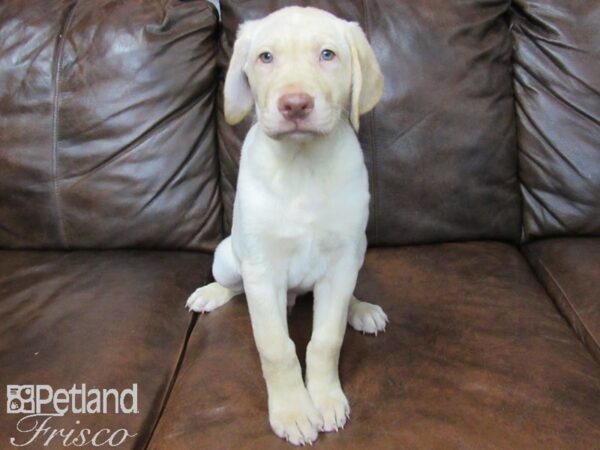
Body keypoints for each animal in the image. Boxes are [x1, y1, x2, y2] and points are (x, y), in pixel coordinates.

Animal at [185, 7, 386, 446]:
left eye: (327, 55)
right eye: (265, 57)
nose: (295, 105)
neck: (303, 163)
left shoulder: (342, 262)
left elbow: (326, 340)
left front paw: (325, 398)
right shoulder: (262, 271)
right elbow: (276, 348)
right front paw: (294, 411)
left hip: (357, 255)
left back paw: (360, 309)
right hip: (229, 257)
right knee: (234, 285)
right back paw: (211, 293)